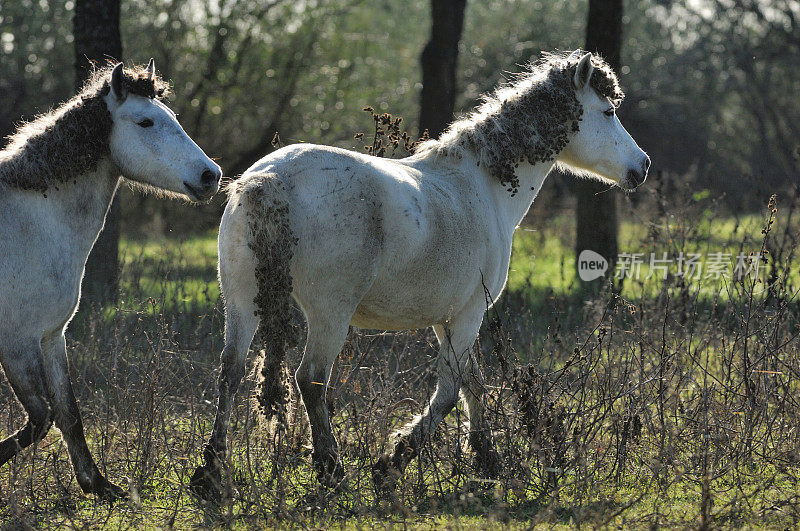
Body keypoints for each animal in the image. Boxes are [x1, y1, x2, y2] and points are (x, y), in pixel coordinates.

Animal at [0, 60, 220, 500]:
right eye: (146, 121)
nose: (211, 175)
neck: (33, 221)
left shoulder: (51, 337)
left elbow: (67, 413)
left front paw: (98, 485)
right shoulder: (16, 342)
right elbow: (41, 418)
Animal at [194, 52, 648, 496]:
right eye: (607, 111)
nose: (641, 166)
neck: (481, 186)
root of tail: (269, 181)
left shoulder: (447, 320)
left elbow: (473, 384)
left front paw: (487, 459)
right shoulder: (469, 313)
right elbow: (448, 391)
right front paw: (392, 463)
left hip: (243, 303)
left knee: (230, 371)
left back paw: (211, 472)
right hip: (329, 315)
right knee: (311, 380)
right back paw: (331, 469)